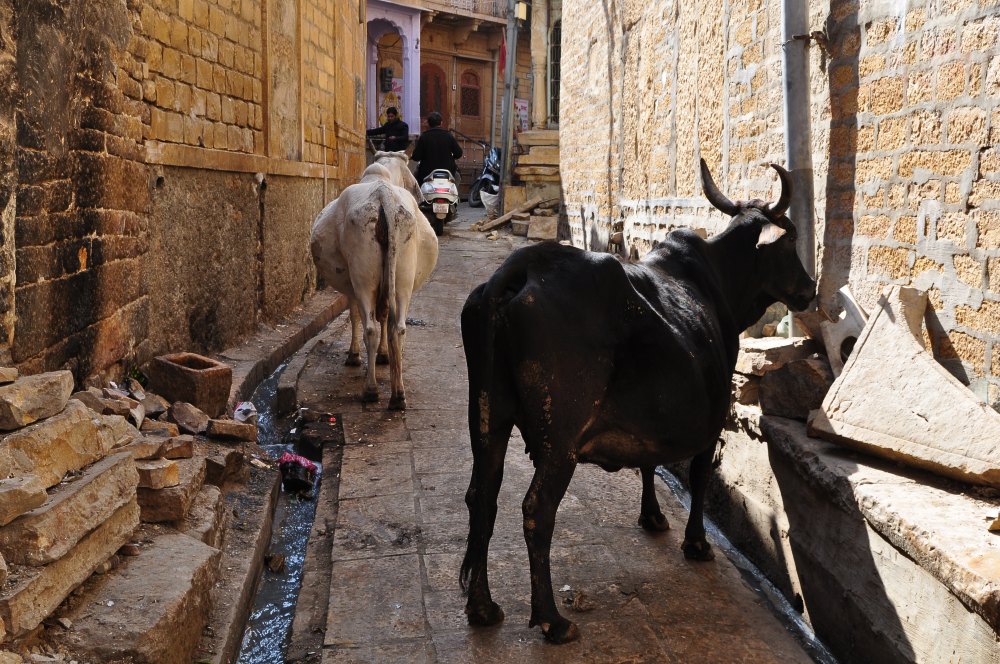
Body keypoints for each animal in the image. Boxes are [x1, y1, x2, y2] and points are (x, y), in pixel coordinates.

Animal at [310, 152, 438, 409]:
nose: (420, 194)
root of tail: (383, 195)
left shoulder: (350, 287)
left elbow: (354, 316)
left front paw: (354, 355)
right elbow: (385, 318)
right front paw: (384, 355)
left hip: (363, 281)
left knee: (370, 328)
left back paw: (370, 390)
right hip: (403, 282)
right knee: (397, 328)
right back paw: (398, 394)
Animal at [459, 159, 816, 643]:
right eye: (792, 236)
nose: (809, 288)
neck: (719, 282)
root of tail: (515, 272)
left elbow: (651, 462)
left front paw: (652, 517)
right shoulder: (713, 418)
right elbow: (700, 475)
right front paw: (696, 542)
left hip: (487, 418)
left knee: (482, 497)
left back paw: (482, 607)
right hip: (558, 440)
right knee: (537, 511)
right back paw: (552, 619)